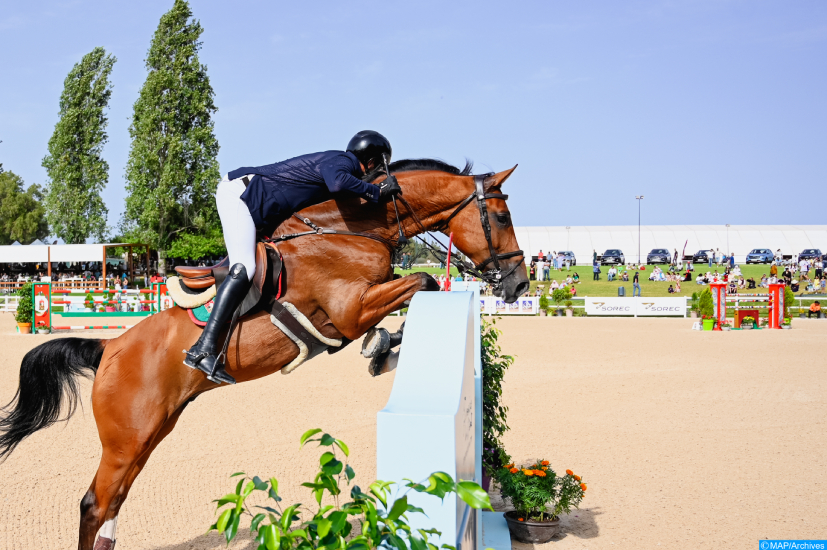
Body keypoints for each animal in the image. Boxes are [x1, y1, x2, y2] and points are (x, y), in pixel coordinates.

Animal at [0, 157, 532, 548]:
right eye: (502, 217)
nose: (519, 284)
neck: (349, 228)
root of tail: (108, 347)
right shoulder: (349, 309)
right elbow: (421, 281)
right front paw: (382, 346)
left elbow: (418, 287)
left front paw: (384, 349)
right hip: (127, 439)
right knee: (94, 504)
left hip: (150, 433)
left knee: (111, 506)